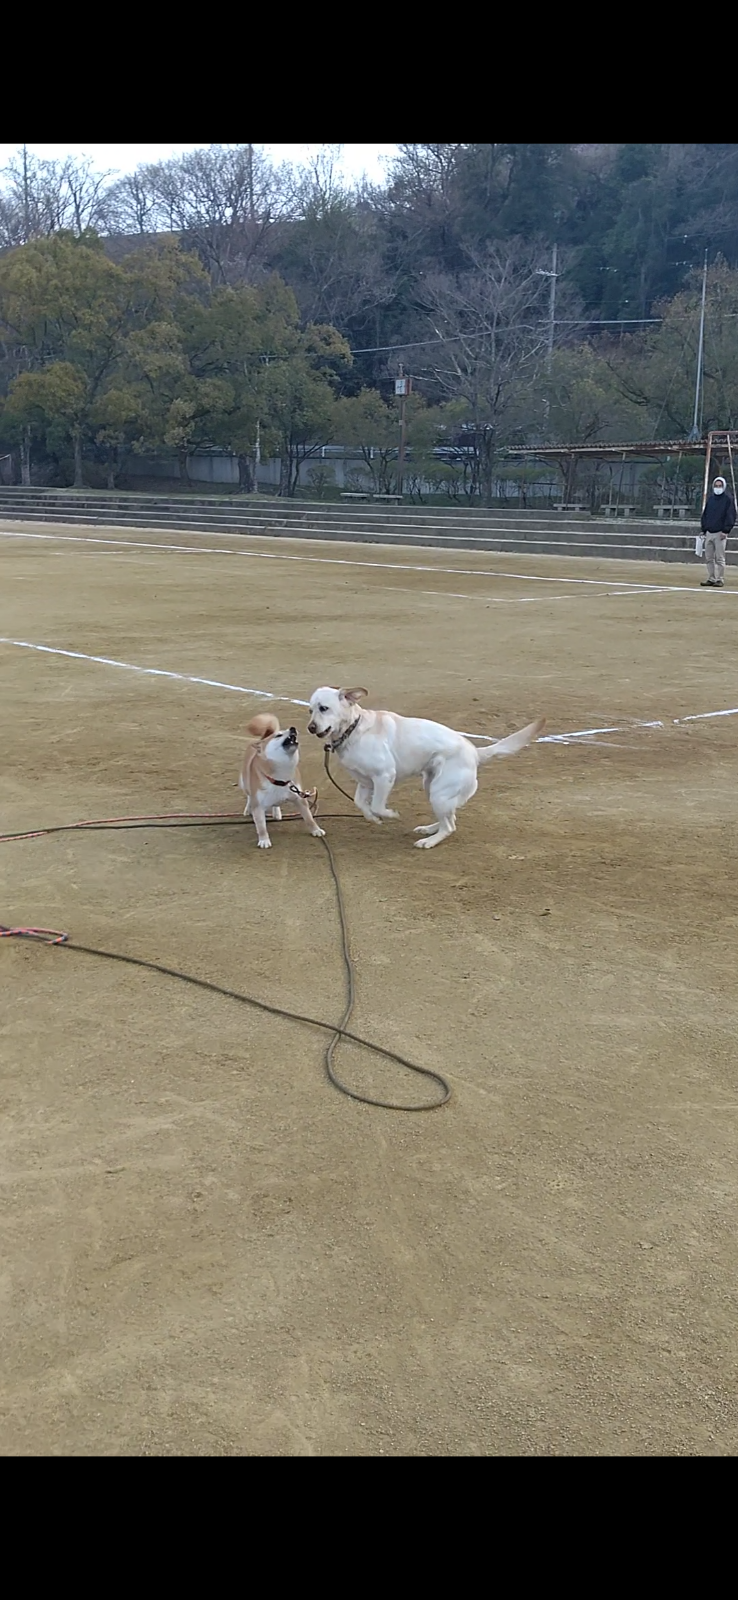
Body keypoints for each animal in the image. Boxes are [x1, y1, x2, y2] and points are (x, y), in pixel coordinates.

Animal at [238, 716, 324, 851]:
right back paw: (248, 809)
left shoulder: (300, 798)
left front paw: (316, 830)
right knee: (249, 796)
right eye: (278, 735)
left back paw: (276, 813)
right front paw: (264, 840)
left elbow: (309, 818)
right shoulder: (258, 806)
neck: (281, 779)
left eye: (290, 729)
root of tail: (260, 740)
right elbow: (261, 827)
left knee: (275, 803)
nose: (293, 728)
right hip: (244, 783)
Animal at [307, 688, 544, 851]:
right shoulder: (365, 782)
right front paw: (373, 819)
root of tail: (475, 752)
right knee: (450, 820)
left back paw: (429, 841)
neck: (353, 729)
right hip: (432, 788)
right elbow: (361, 804)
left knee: (450, 826)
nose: (310, 727)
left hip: (439, 793)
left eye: (324, 708)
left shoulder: (384, 776)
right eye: (310, 710)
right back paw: (430, 830)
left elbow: (377, 805)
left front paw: (390, 814)